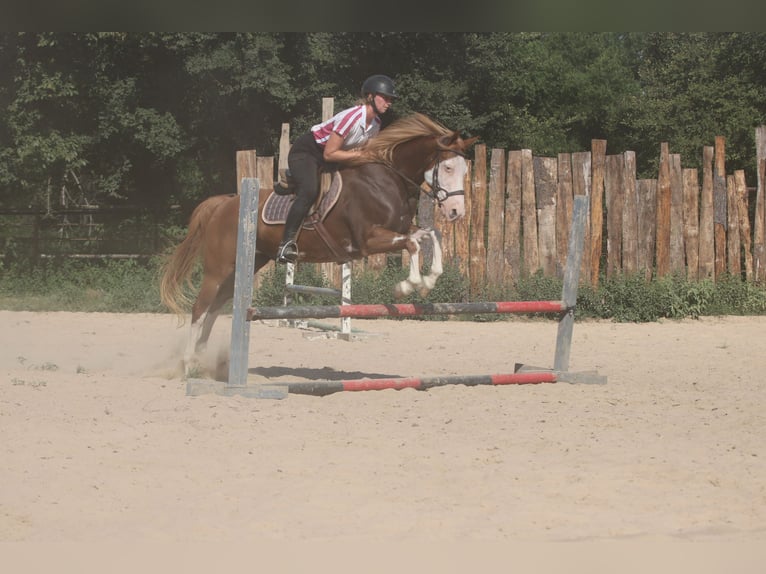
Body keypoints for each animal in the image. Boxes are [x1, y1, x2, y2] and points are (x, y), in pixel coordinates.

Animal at [160, 113, 478, 373]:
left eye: (464, 170)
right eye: (447, 168)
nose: (456, 212)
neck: (387, 180)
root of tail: (224, 203)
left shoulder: (397, 229)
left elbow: (429, 235)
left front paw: (429, 279)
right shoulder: (369, 240)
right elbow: (412, 244)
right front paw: (407, 286)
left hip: (246, 264)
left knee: (214, 309)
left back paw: (201, 357)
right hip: (219, 268)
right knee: (200, 308)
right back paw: (189, 363)